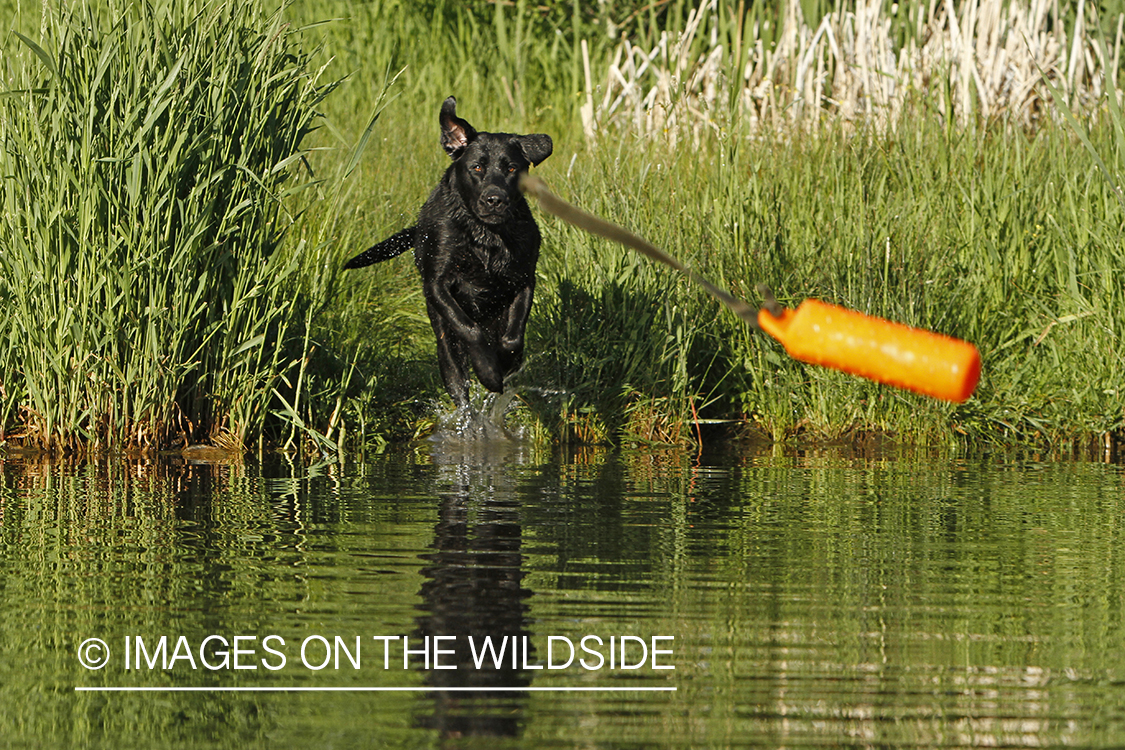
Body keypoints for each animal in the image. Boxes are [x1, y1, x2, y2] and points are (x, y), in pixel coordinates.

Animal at [342, 98, 553, 411]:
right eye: (477, 167)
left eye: (512, 168)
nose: (495, 199)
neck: (484, 236)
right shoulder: (437, 284)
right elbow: (468, 328)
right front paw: (488, 371)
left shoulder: (523, 279)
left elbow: (513, 337)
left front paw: (506, 362)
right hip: (442, 340)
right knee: (457, 378)